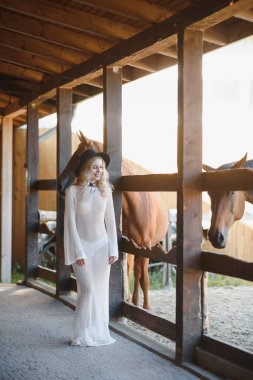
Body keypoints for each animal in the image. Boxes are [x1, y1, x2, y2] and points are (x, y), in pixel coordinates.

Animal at [57, 132, 168, 310]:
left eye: (79, 156)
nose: (59, 185)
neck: (139, 204)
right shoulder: (130, 245)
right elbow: (133, 273)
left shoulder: (147, 247)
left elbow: (144, 279)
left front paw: (146, 307)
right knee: (132, 270)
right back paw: (132, 300)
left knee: (138, 272)